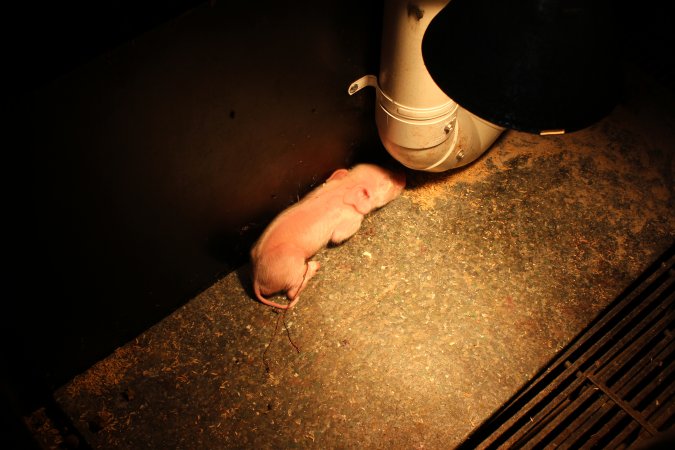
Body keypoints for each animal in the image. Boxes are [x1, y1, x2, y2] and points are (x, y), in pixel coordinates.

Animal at [250, 163, 406, 309]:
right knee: (292, 292)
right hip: (291, 263)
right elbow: (339, 236)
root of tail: (256, 277)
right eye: (387, 181)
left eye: (385, 168)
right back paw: (315, 266)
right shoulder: (348, 222)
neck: (346, 186)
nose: (404, 175)